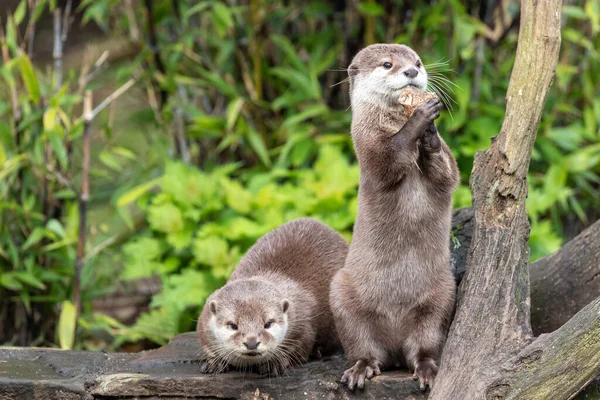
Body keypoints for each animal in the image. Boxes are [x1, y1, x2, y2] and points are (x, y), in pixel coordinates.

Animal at [197, 217, 346, 374]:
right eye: (233, 325)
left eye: (268, 323)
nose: (251, 343)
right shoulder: (204, 323)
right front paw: (214, 362)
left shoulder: (303, 325)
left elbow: (297, 350)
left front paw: (275, 363)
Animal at [328, 43, 460, 390]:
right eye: (388, 64)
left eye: (418, 62)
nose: (412, 71)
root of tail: (396, 342)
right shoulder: (367, 145)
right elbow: (389, 158)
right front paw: (420, 119)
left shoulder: (448, 170)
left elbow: (448, 174)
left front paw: (430, 133)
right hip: (342, 296)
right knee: (363, 347)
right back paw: (361, 369)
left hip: (441, 296)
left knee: (425, 345)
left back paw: (426, 369)